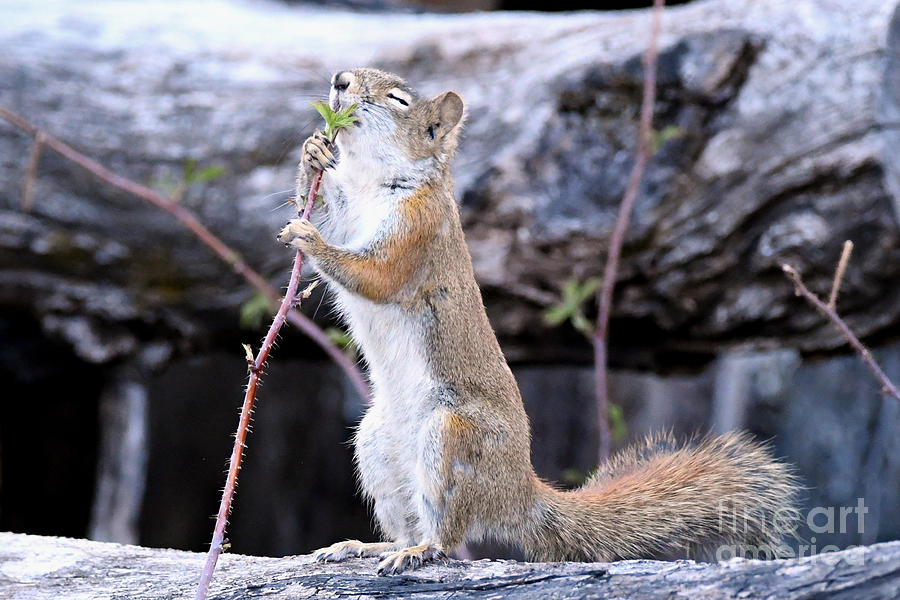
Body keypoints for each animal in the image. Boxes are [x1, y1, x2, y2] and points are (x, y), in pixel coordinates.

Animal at [278, 69, 800, 576]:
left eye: (399, 100)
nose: (340, 81)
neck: (374, 181)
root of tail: (519, 493)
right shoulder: (353, 213)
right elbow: (331, 212)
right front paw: (313, 154)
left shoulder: (419, 229)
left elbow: (377, 275)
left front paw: (312, 241)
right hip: (377, 447)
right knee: (404, 523)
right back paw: (365, 547)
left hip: (452, 437)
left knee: (448, 532)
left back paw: (421, 550)